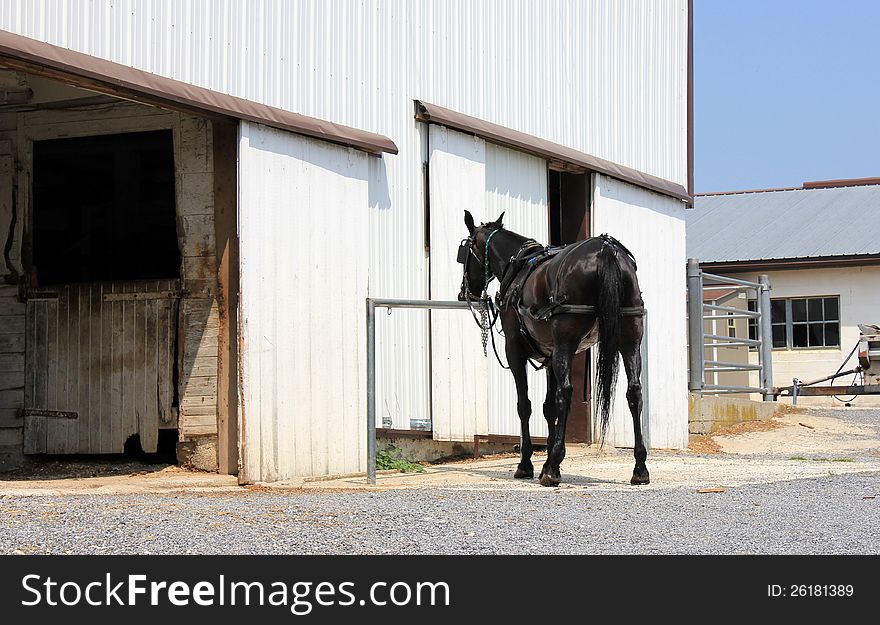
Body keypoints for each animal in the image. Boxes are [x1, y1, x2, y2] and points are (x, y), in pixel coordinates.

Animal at [458, 211, 648, 488]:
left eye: (465, 250)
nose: (465, 293)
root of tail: (605, 249)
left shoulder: (515, 351)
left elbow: (525, 405)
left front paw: (528, 464)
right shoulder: (550, 355)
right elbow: (548, 408)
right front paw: (544, 456)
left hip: (566, 346)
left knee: (566, 393)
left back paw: (553, 467)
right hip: (630, 340)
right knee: (634, 392)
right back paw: (640, 467)